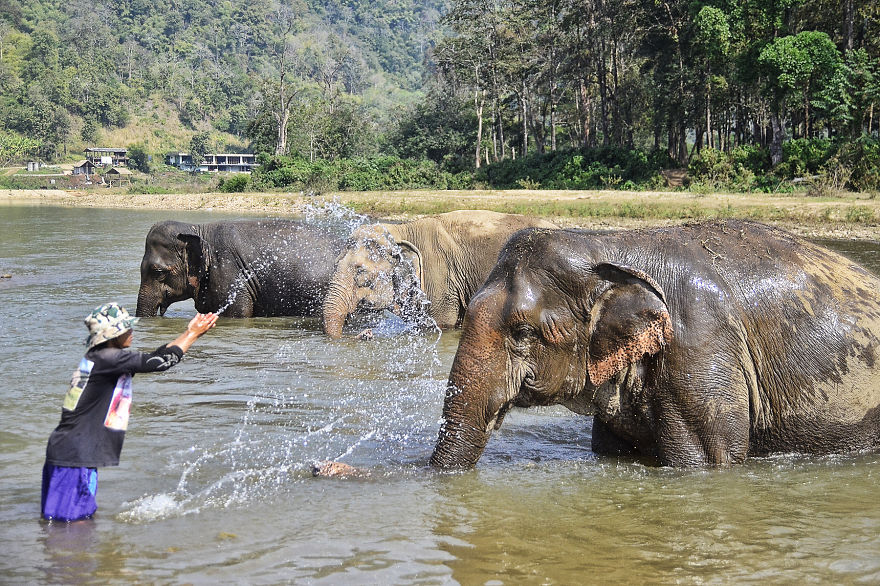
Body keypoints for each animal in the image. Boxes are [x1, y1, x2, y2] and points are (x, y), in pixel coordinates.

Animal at [322, 210, 558, 338]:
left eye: (362, 273)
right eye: (334, 265)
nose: (365, 334)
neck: (403, 230)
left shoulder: (441, 280)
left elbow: (441, 323)